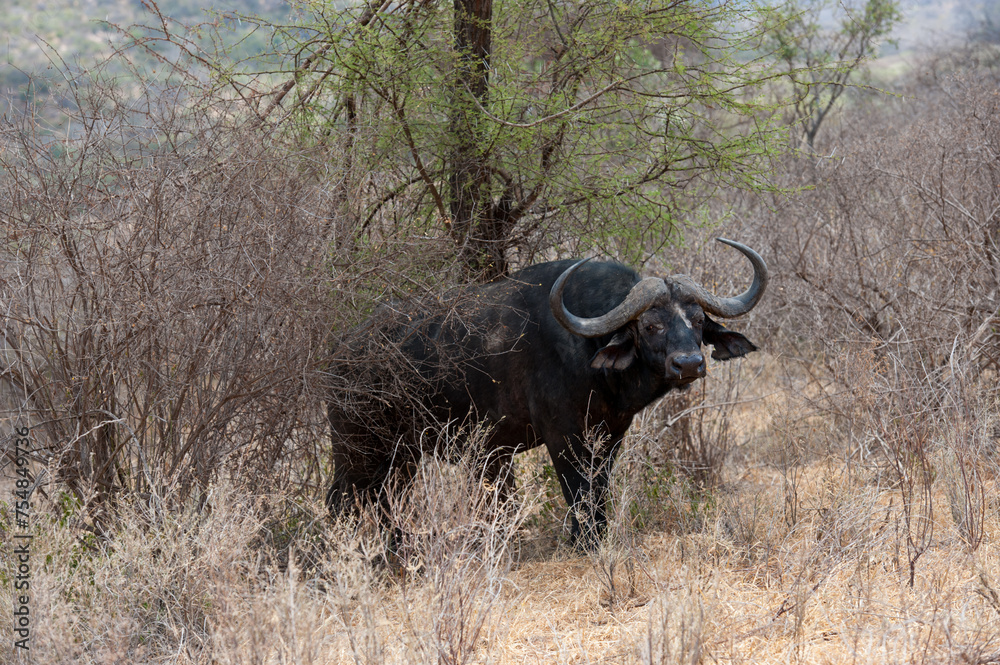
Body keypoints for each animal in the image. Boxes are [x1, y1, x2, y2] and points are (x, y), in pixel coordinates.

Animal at [327, 238, 767, 547]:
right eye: (650, 325)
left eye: (698, 320)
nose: (688, 364)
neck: (587, 351)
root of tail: (341, 352)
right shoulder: (563, 437)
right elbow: (578, 492)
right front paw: (585, 543)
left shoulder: (609, 436)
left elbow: (598, 491)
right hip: (359, 450)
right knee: (343, 501)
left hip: (401, 458)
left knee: (374, 501)